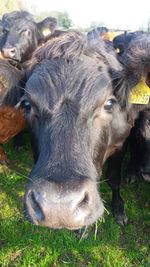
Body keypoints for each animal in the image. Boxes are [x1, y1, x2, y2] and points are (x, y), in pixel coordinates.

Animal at [17, 31, 150, 230]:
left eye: (109, 103)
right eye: (27, 104)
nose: (58, 208)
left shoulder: (121, 143)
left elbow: (114, 179)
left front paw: (119, 209)